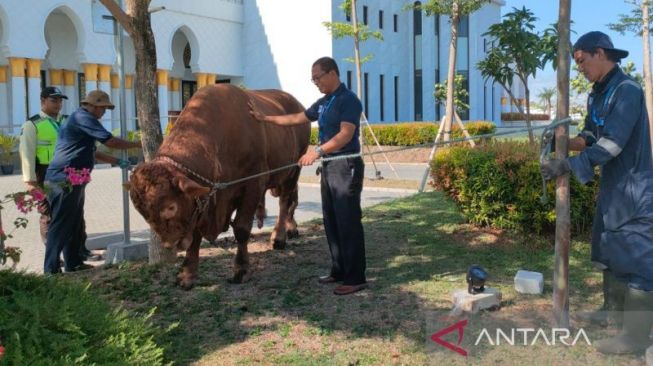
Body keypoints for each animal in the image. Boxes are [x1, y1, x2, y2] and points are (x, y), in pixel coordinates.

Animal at [131, 85, 310, 288]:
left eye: (171, 207)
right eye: (142, 212)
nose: (171, 245)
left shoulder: (253, 185)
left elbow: (241, 228)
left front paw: (241, 270)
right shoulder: (202, 203)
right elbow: (196, 235)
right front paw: (187, 274)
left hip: (293, 170)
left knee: (285, 202)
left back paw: (279, 237)